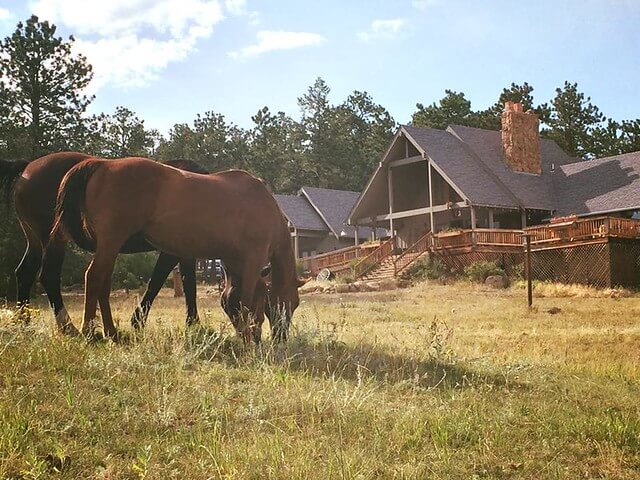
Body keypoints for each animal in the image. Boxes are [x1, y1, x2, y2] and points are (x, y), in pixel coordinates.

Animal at [0, 153, 206, 334]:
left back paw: (25, 322)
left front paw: (192, 322)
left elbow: (188, 282)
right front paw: (138, 321)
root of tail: (28, 167)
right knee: (49, 275)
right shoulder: (172, 251)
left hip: (35, 241)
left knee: (25, 273)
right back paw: (68, 327)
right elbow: (158, 281)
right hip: (53, 240)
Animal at [51, 159, 302, 344]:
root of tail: (103, 164)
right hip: (110, 243)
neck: (266, 208)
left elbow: (232, 299)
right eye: (294, 302)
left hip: (110, 247)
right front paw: (248, 338)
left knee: (102, 283)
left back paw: (111, 332)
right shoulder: (252, 262)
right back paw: (88, 331)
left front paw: (244, 333)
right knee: (93, 277)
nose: (281, 337)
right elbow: (245, 301)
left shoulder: (234, 264)